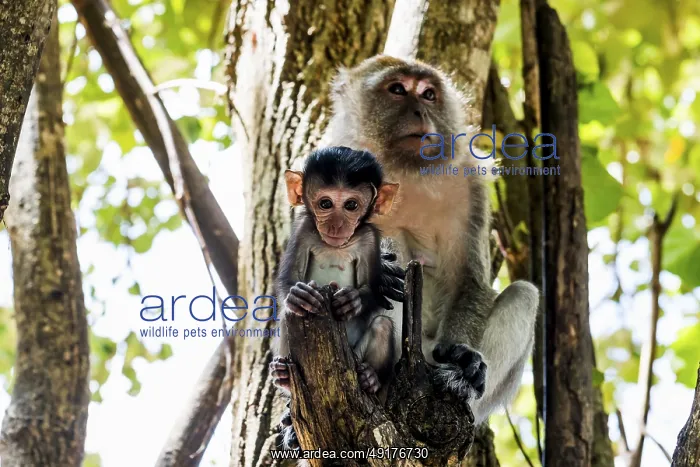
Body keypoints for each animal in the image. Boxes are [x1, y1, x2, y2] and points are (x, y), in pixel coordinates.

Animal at [269, 146, 401, 448]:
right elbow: (288, 281)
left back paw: (370, 378)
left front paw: (352, 301)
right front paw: (298, 295)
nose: (337, 225)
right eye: (325, 203)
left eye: (351, 205)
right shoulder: (303, 228)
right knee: (288, 316)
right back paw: (283, 377)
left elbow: (373, 290)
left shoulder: (370, 238)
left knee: (382, 325)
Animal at [320, 55, 540, 425]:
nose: (420, 111)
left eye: (428, 94)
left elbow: (470, 280)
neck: (404, 173)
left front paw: (463, 360)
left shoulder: (469, 184)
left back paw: (461, 381)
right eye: (397, 89)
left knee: (524, 294)